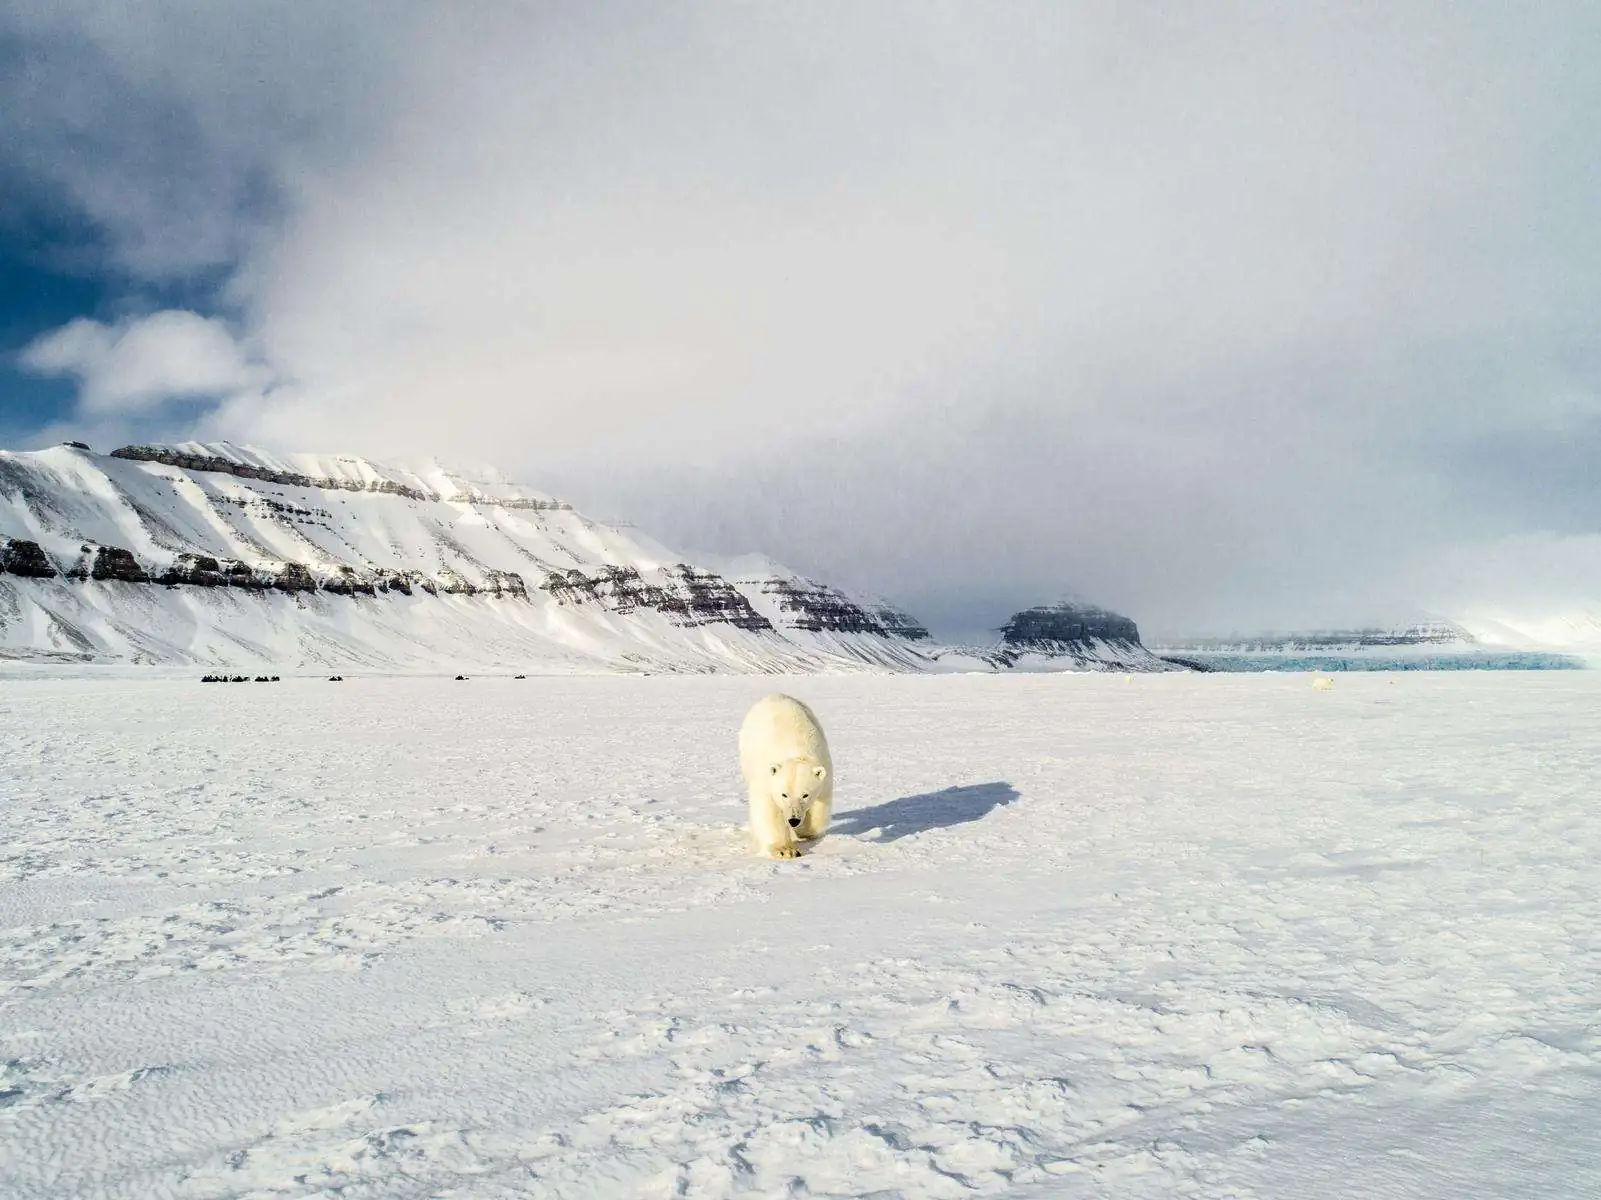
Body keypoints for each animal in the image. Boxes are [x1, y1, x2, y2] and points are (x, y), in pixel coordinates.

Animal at [739, 691, 838, 857]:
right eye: (784, 794)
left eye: (805, 794)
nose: (793, 820)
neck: (796, 750)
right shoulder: (766, 776)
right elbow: (768, 809)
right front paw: (786, 850)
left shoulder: (824, 772)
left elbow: (820, 809)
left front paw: (802, 831)